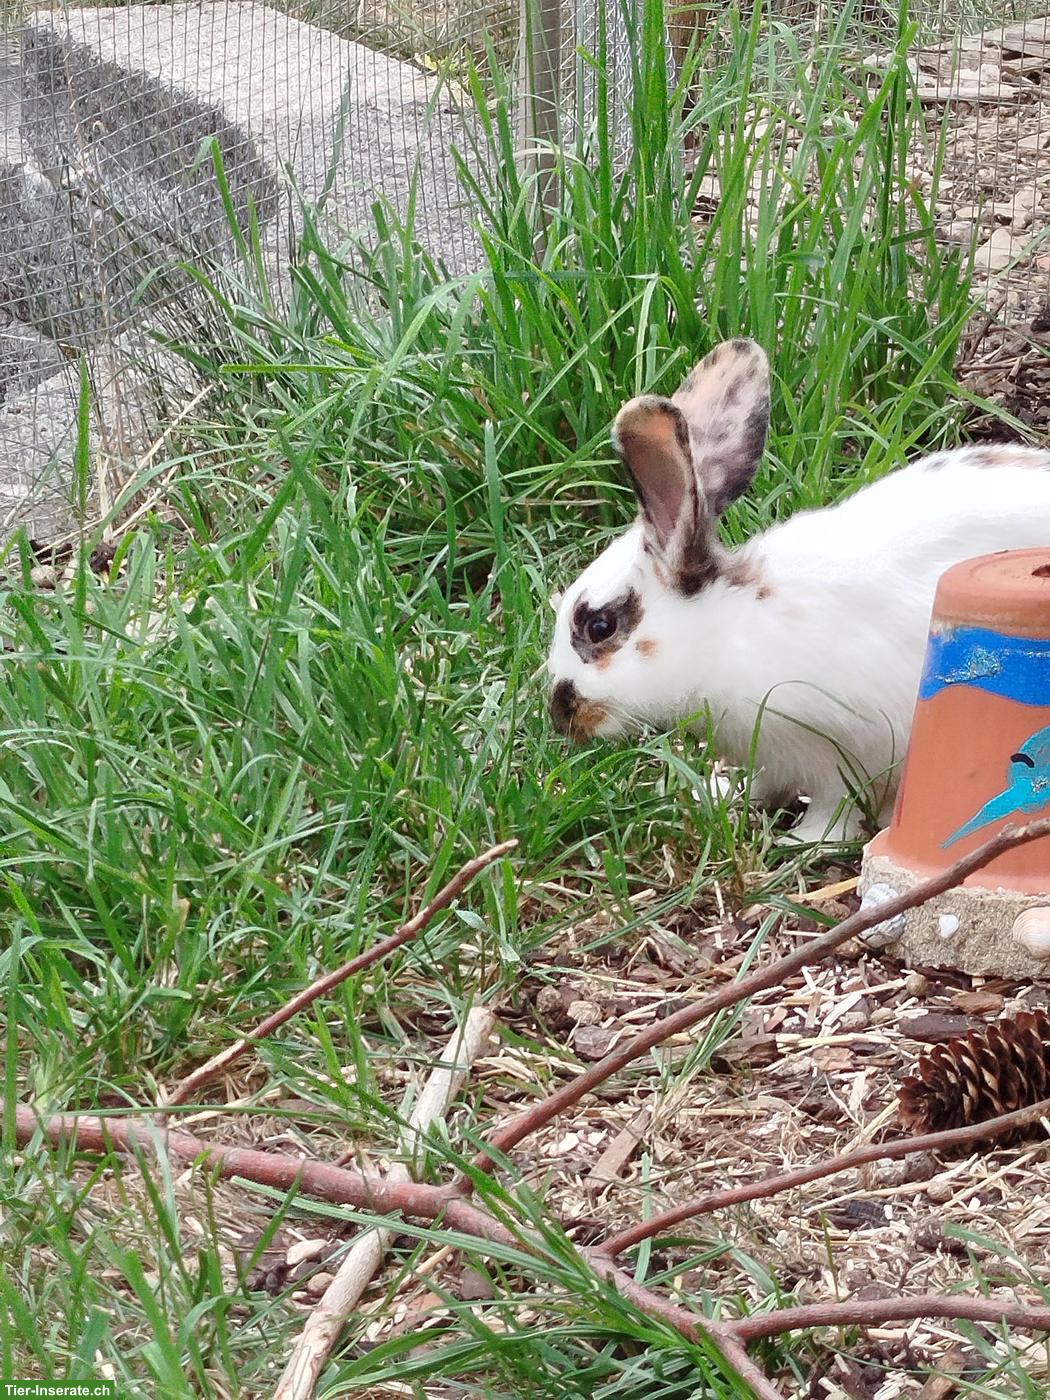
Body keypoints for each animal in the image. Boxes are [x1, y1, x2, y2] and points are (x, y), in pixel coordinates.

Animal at [546, 337, 1050, 843]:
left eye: (600, 626)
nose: (559, 714)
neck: (727, 630)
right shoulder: (774, 759)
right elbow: (764, 785)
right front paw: (725, 796)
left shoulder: (847, 750)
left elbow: (836, 806)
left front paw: (803, 840)